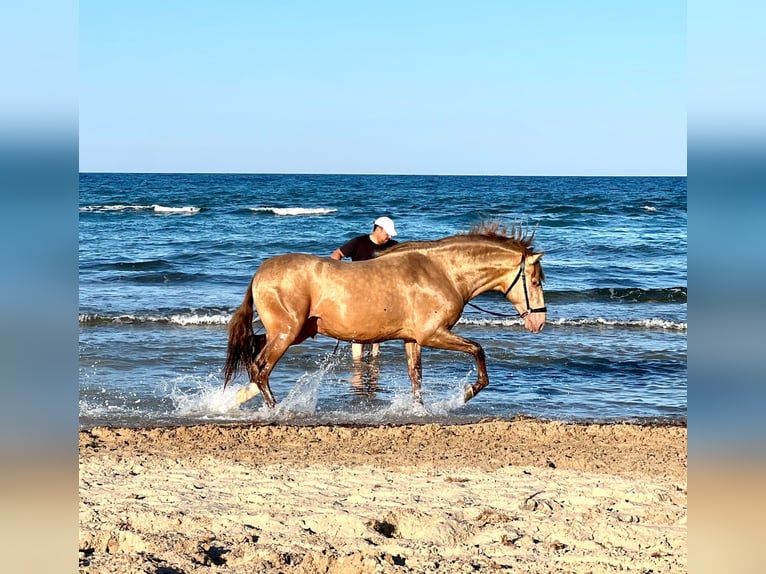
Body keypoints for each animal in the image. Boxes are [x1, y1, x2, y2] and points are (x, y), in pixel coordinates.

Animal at [222, 224, 544, 410]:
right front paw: (467, 392)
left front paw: (418, 408)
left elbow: (416, 375)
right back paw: (274, 407)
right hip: (287, 333)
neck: (443, 272)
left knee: (252, 351)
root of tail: (260, 272)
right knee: (260, 368)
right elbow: (478, 350)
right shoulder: (433, 334)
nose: (538, 322)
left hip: (293, 332)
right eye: (536, 281)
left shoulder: (413, 339)